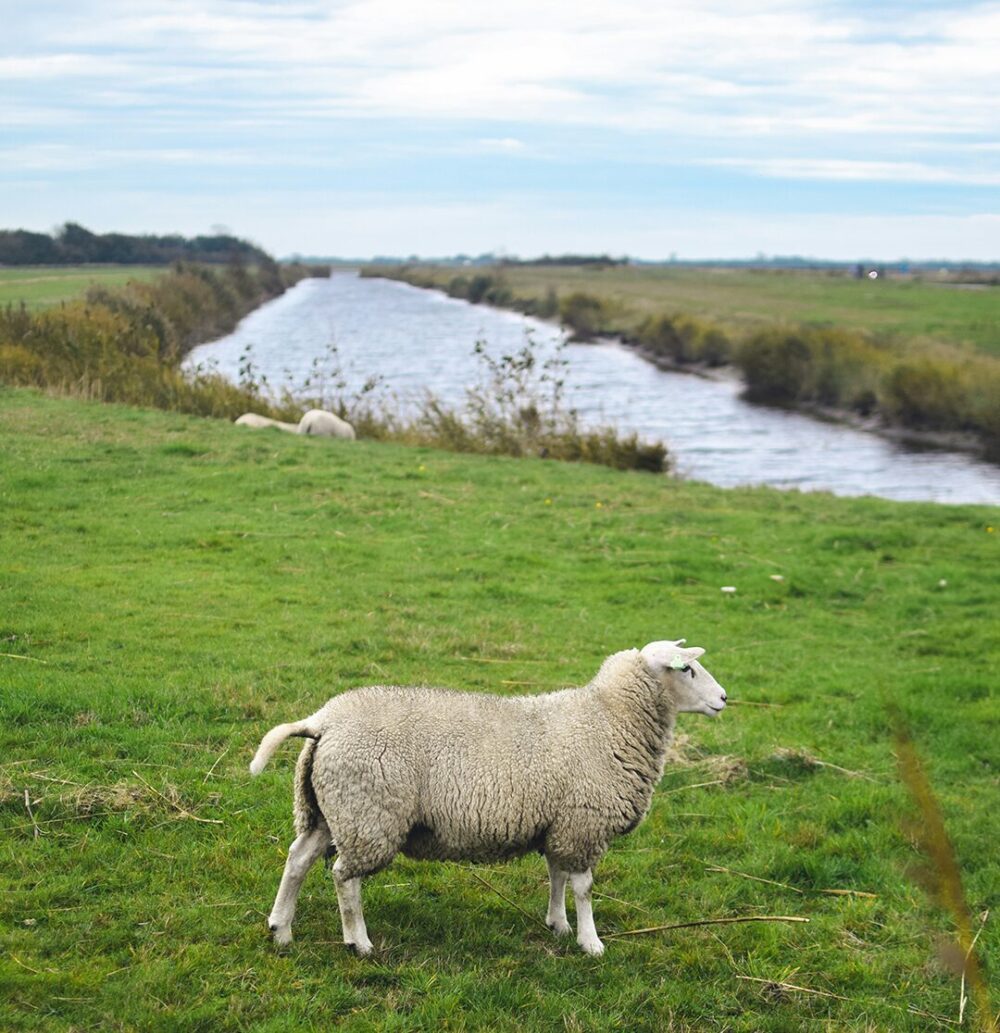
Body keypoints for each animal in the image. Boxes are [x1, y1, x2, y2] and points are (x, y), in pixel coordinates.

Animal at [249, 640, 727, 954]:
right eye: (687, 670)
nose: (724, 698)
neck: (609, 719)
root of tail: (323, 721)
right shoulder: (583, 823)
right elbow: (584, 887)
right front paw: (591, 942)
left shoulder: (559, 823)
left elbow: (556, 876)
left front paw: (558, 924)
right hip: (369, 812)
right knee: (344, 877)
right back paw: (358, 942)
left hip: (331, 809)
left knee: (298, 858)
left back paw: (281, 929)